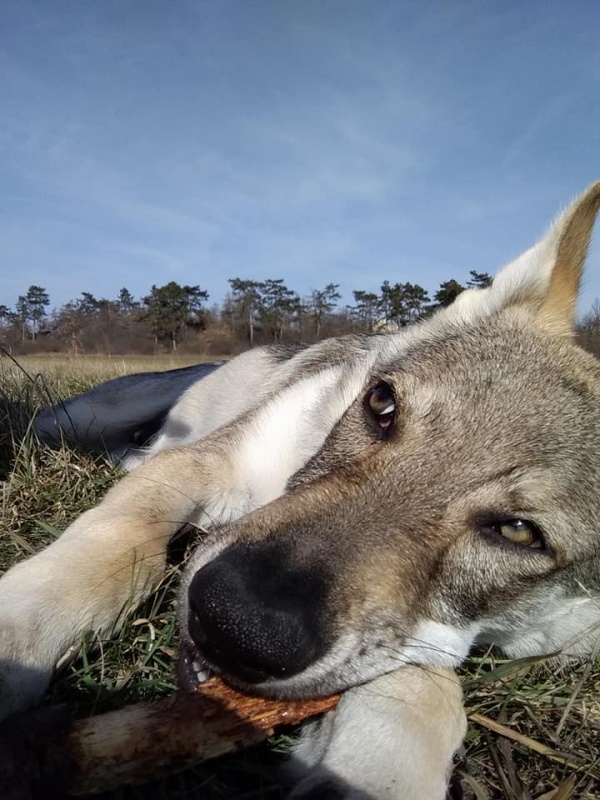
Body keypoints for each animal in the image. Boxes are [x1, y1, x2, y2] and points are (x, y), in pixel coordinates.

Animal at [1, 183, 600, 800]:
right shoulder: (202, 463)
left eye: (519, 533)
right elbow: (117, 539)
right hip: (80, 420)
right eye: (381, 404)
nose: (234, 621)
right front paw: (17, 632)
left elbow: (428, 682)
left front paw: (376, 767)